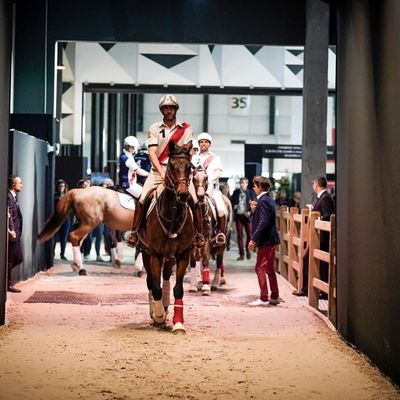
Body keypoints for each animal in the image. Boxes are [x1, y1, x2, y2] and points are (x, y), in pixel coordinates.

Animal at [137, 141, 195, 334]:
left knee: (167, 278)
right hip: (146, 253)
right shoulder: (154, 255)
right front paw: (159, 316)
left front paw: (178, 323)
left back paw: (166, 305)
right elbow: (155, 287)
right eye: (171, 166)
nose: (183, 194)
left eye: (190, 167)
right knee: (151, 282)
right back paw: (156, 312)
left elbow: (178, 289)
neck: (172, 215)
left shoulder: (183, 255)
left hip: (169, 258)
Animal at [190, 166, 233, 294]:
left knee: (219, 260)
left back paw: (214, 283)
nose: (200, 196)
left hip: (223, 241)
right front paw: (193, 286)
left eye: (206, 177)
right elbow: (193, 262)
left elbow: (205, 260)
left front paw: (205, 287)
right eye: (194, 177)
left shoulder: (207, 241)